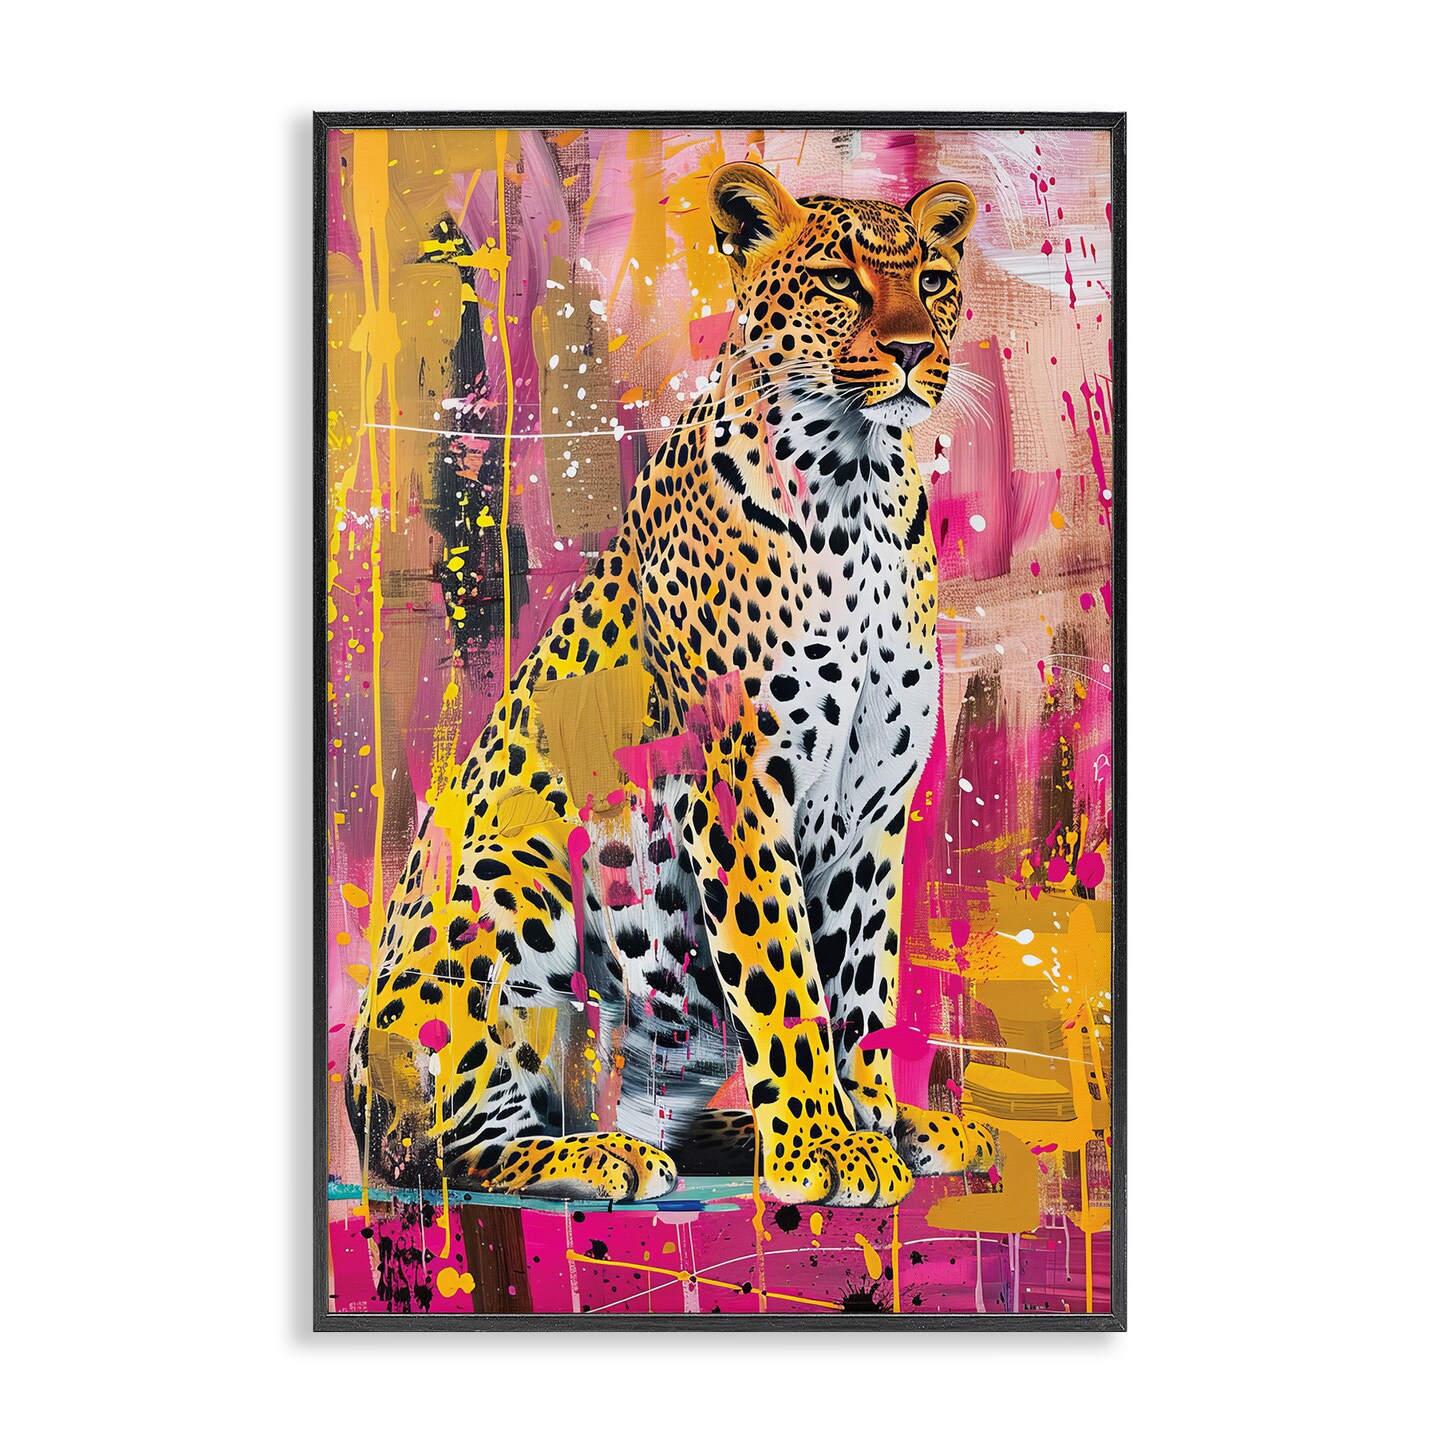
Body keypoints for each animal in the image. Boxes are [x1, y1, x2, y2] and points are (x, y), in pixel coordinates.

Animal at [345, 161, 998, 1208]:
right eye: (839, 282)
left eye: (933, 280)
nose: (912, 352)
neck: (857, 486)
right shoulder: (739, 788)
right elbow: (785, 981)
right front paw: (822, 1147)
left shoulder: (871, 817)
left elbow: (861, 991)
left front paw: (879, 1128)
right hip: (507, 880)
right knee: (450, 1148)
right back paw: (598, 1156)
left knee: (655, 1107)